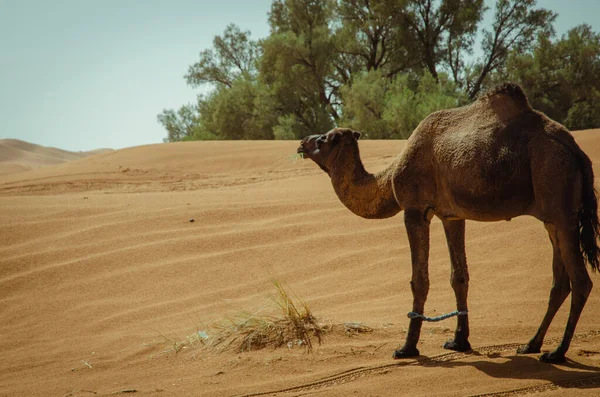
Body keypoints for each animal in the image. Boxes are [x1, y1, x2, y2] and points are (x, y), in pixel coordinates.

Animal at [298, 83, 596, 362]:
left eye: (324, 139)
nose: (302, 142)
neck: (390, 177)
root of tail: (575, 149)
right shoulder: (452, 216)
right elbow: (459, 276)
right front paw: (459, 341)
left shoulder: (414, 209)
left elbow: (419, 280)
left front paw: (407, 348)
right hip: (552, 217)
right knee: (560, 282)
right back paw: (531, 344)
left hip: (558, 193)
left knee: (581, 281)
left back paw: (557, 352)